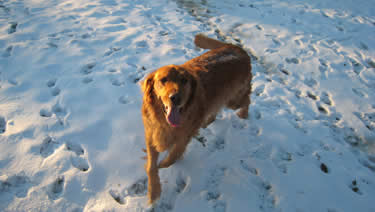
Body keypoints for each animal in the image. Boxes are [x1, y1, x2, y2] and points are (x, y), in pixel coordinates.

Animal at [141, 34, 253, 205]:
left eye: (184, 81)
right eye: (163, 80)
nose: (175, 97)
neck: (166, 123)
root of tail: (237, 48)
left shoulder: (184, 138)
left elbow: (172, 157)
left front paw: (163, 167)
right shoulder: (152, 134)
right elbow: (151, 167)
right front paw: (154, 191)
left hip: (234, 100)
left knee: (247, 100)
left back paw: (244, 114)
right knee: (215, 109)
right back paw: (207, 122)